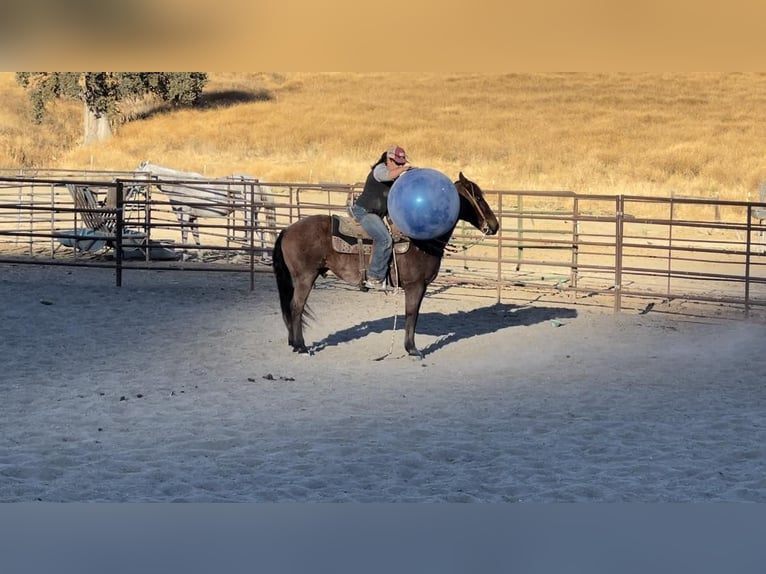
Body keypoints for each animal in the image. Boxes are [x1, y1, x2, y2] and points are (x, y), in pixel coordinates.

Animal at [136, 160, 278, 254]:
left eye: (137, 173)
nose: (134, 188)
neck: (178, 185)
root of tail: (256, 181)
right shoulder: (192, 217)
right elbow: (196, 235)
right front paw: (199, 255)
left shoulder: (184, 215)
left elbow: (184, 234)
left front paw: (184, 252)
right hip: (253, 213)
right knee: (261, 230)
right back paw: (264, 255)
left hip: (247, 213)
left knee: (252, 230)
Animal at [272, 172, 500, 360]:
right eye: (479, 198)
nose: (494, 225)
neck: (421, 240)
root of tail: (287, 230)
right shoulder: (415, 285)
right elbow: (411, 314)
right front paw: (412, 350)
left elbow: (413, 315)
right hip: (305, 277)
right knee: (296, 307)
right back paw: (301, 347)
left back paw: (294, 343)